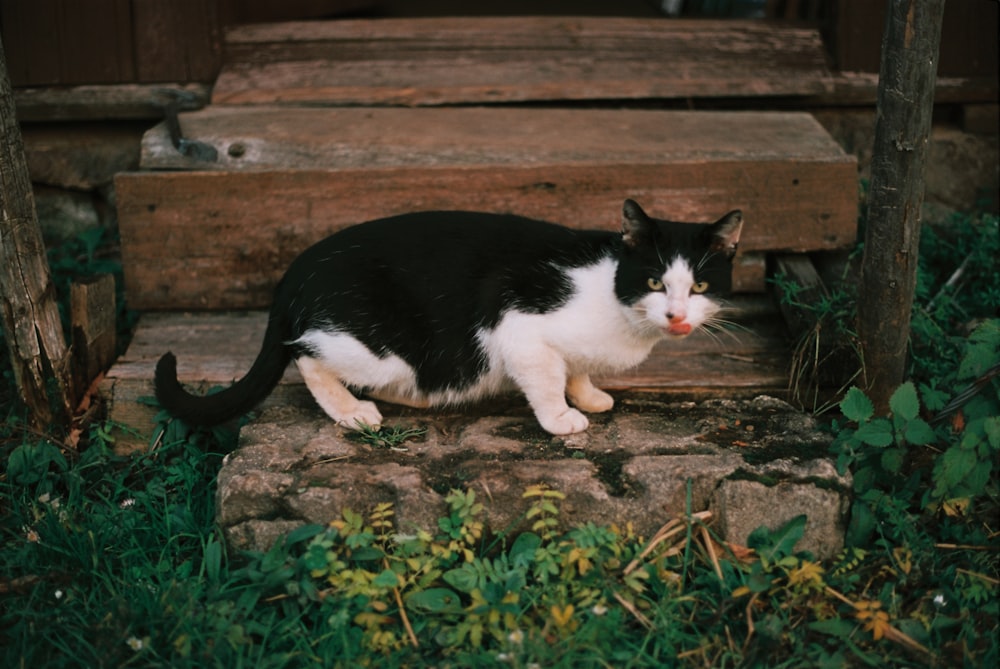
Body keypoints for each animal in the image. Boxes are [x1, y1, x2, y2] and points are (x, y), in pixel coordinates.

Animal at [156, 197, 744, 438]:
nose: (678, 317)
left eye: (700, 287)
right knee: (306, 356)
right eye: (654, 282)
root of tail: (296, 270)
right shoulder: (517, 325)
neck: (612, 293)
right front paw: (561, 418)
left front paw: (590, 395)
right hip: (379, 346)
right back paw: (352, 411)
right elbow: (547, 377)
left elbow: (574, 368)